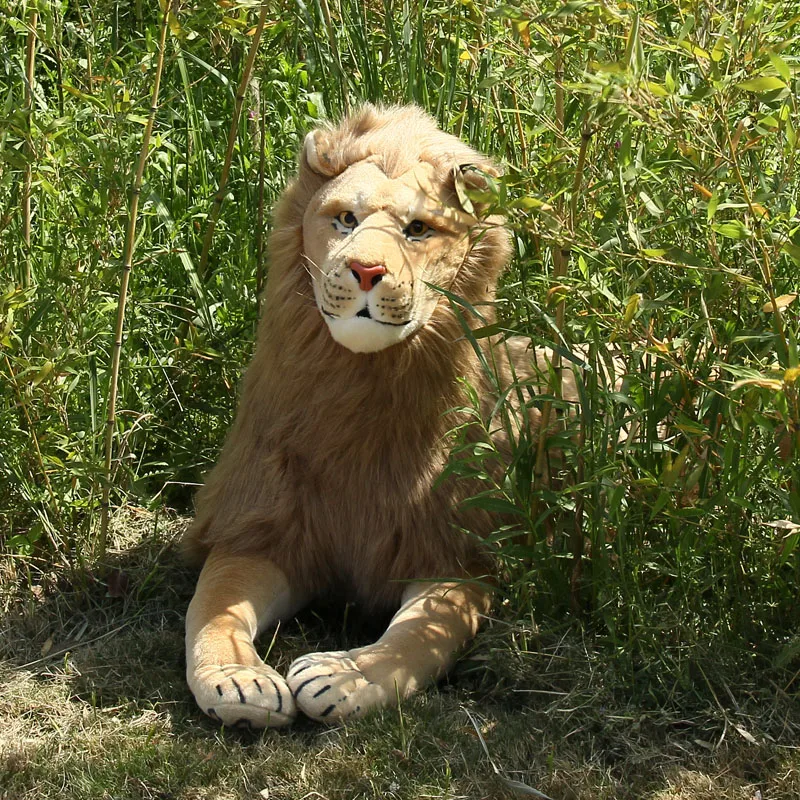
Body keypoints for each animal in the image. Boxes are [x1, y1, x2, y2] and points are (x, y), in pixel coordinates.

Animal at [183, 104, 570, 728]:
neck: (359, 401)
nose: (366, 270)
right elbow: (215, 605)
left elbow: (417, 636)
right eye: (345, 219)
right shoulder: (261, 528)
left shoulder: (457, 555)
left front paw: (346, 675)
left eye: (417, 230)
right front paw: (240, 680)